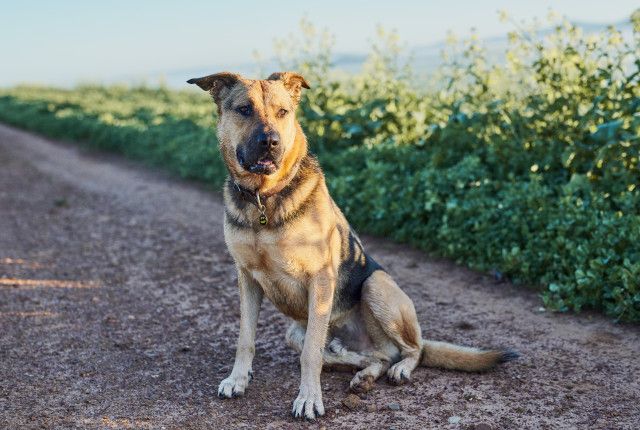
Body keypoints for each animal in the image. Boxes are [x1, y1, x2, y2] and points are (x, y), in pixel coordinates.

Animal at [188, 71, 516, 420]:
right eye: (244, 110)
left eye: (282, 112)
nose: (271, 142)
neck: (265, 200)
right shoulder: (247, 278)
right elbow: (245, 339)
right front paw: (238, 380)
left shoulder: (320, 279)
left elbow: (311, 354)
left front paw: (308, 399)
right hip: (297, 332)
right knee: (374, 356)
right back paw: (363, 374)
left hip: (375, 285)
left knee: (411, 350)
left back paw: (399, 368)